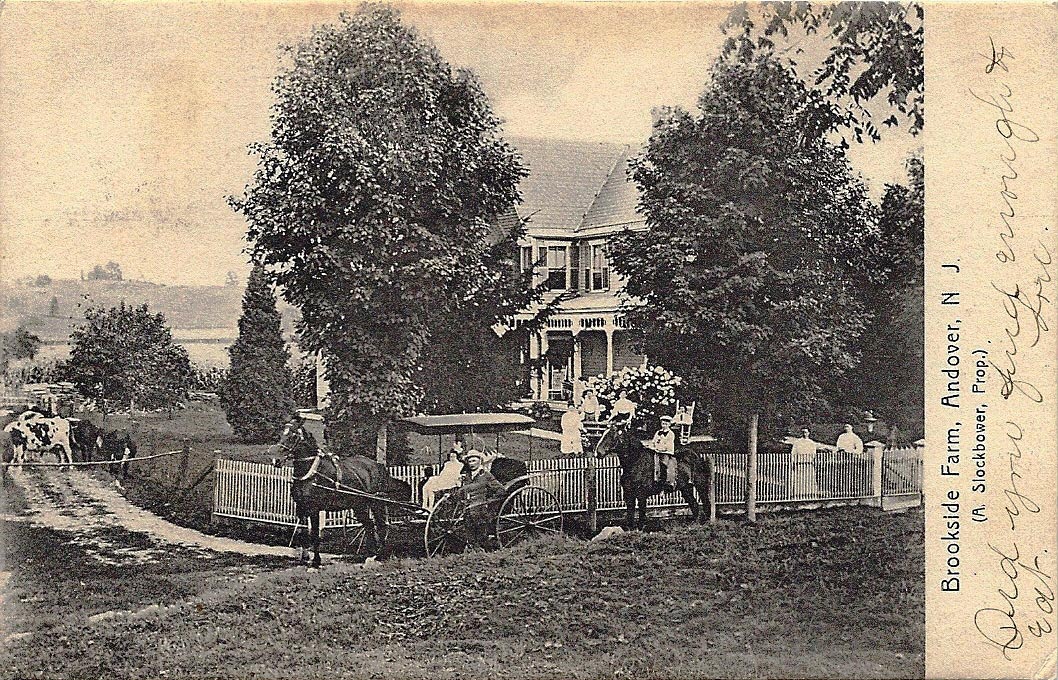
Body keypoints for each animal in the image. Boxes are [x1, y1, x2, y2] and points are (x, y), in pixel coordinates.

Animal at [268, 414, 408, 571]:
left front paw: (316, 563)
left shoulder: (315, 509)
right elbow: (303, 534)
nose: (276, 460)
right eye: (281, 434)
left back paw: (378, 555)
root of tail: (378, 466)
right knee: (369, 525)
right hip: (359, 505)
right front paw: (305, 558)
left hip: (375, 502)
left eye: (292, 435)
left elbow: (315, 535)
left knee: (380, 525)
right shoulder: (301, 508)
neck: (312, 472)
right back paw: (370, 555)